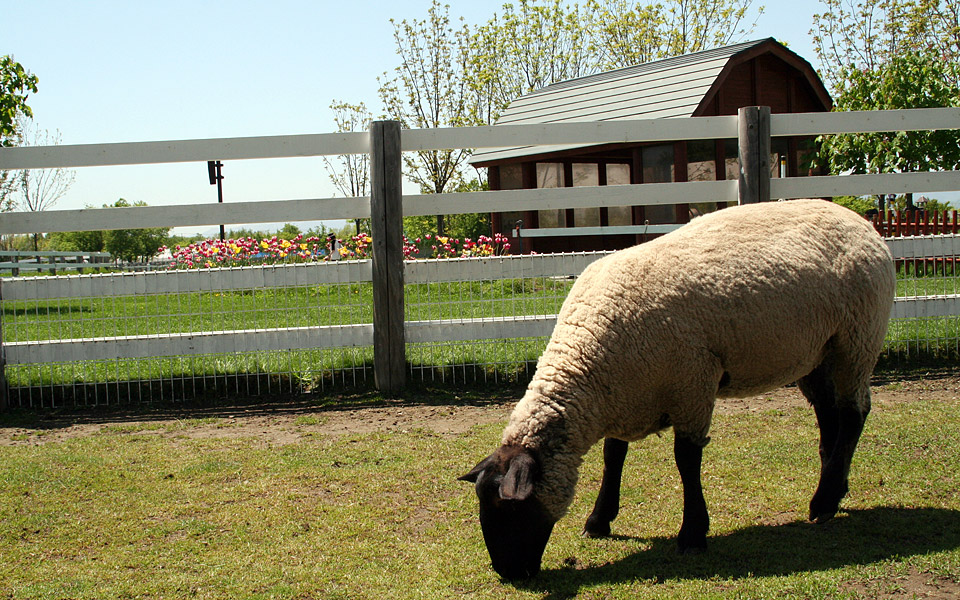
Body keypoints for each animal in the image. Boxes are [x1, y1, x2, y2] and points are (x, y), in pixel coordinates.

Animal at [462, 199, 896, 580]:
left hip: (858, 337)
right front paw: (599, 519)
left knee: (853, 414)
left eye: (508, 509)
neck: (590, 357)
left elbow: (686, 460)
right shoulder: (625, 394)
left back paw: (824, 500)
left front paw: (692, 534)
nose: (507, 573)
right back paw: (833, 491)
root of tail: (863, 223)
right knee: (829, 414)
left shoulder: (693, 383)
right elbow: (613, 456)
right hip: (817, 352)